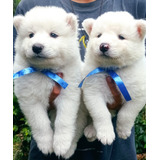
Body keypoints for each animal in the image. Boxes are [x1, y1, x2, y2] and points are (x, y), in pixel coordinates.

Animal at [13, 6, 82, 158]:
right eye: (31, 35)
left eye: (53, 35)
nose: (37, 47)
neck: (46, 71)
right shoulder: (30, 98)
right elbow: (40, 123)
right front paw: (46, 145)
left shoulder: (68, 94)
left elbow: (63, 121)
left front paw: (61, 145)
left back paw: (68, 150)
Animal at [82, 10, 146, 144]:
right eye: (99, 35)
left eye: (121, 37)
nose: (103, 46)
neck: (113, 69)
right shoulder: (93, 88)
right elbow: (100, 112)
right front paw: (106, 134)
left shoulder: (137, 91)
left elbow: (126, 113)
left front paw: (123, 131)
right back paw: (91, 130)